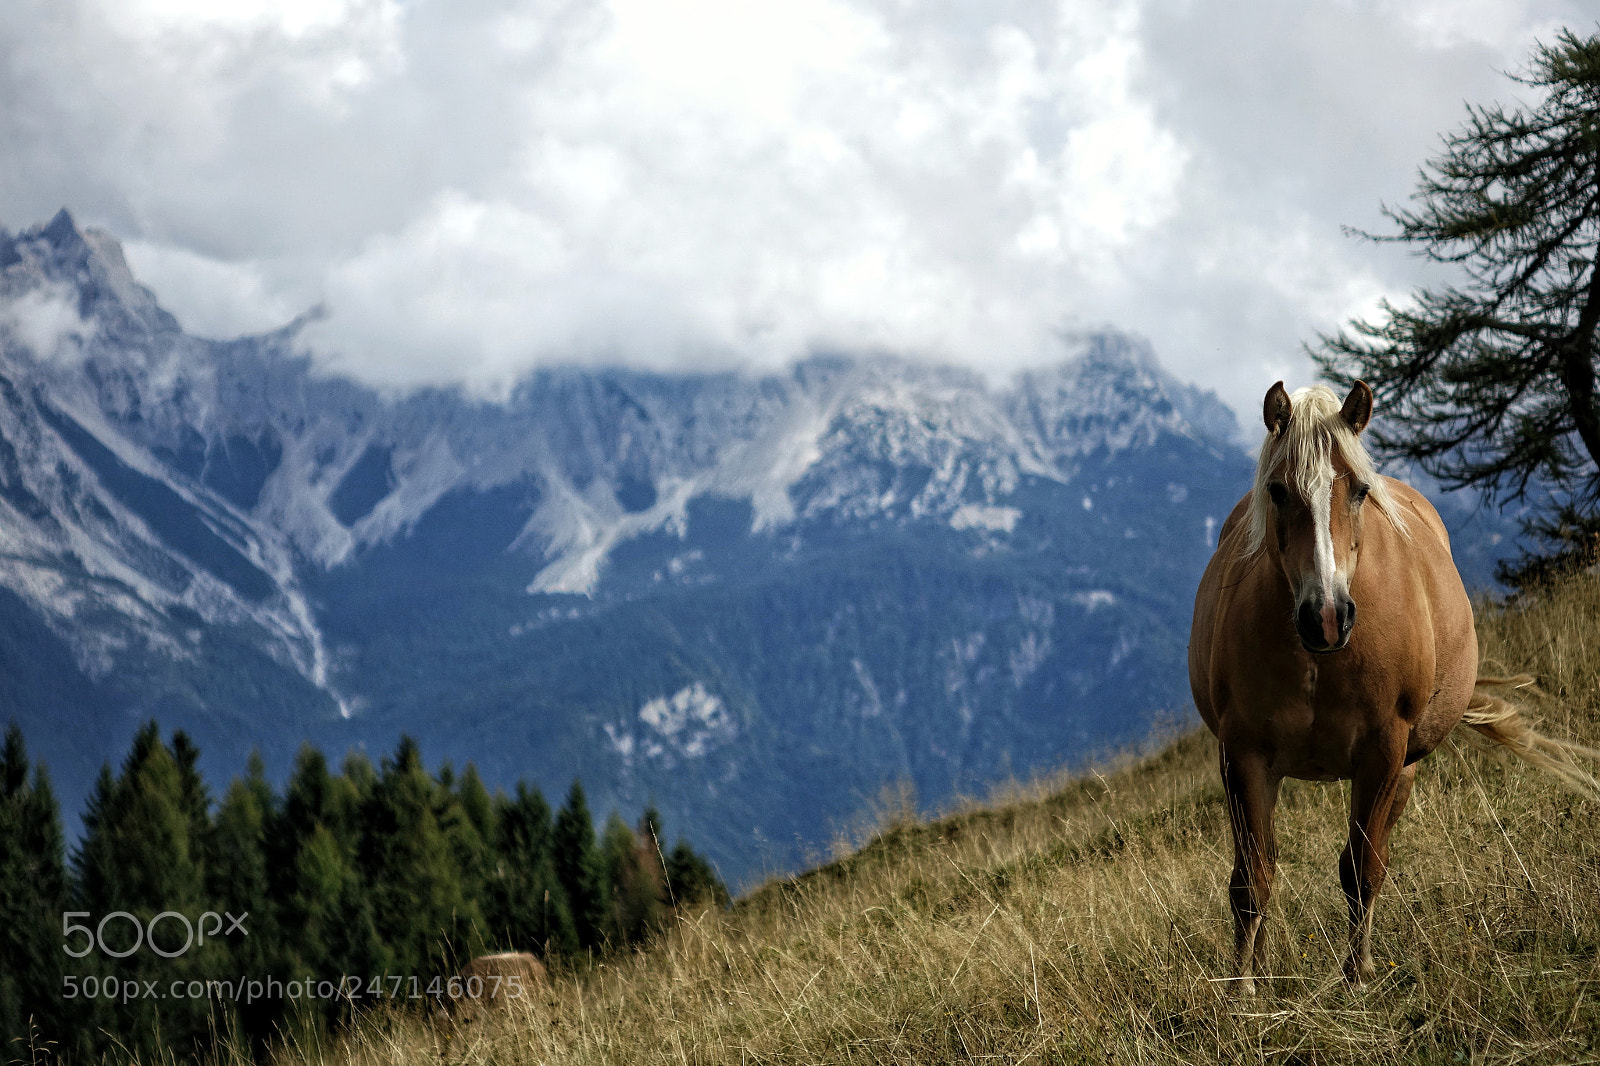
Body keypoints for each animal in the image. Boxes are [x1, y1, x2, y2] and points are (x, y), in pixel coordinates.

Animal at [1196, 376, 1593, 985]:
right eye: (1278, 491)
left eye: (1359, 490)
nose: (1326, 616)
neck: (1320, 657)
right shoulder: (1244, 756)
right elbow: (1252, 883)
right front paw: (1243, 989)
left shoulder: (1382, 752)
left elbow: (1362, 869)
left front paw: (1356, 977)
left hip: (1403, 766)